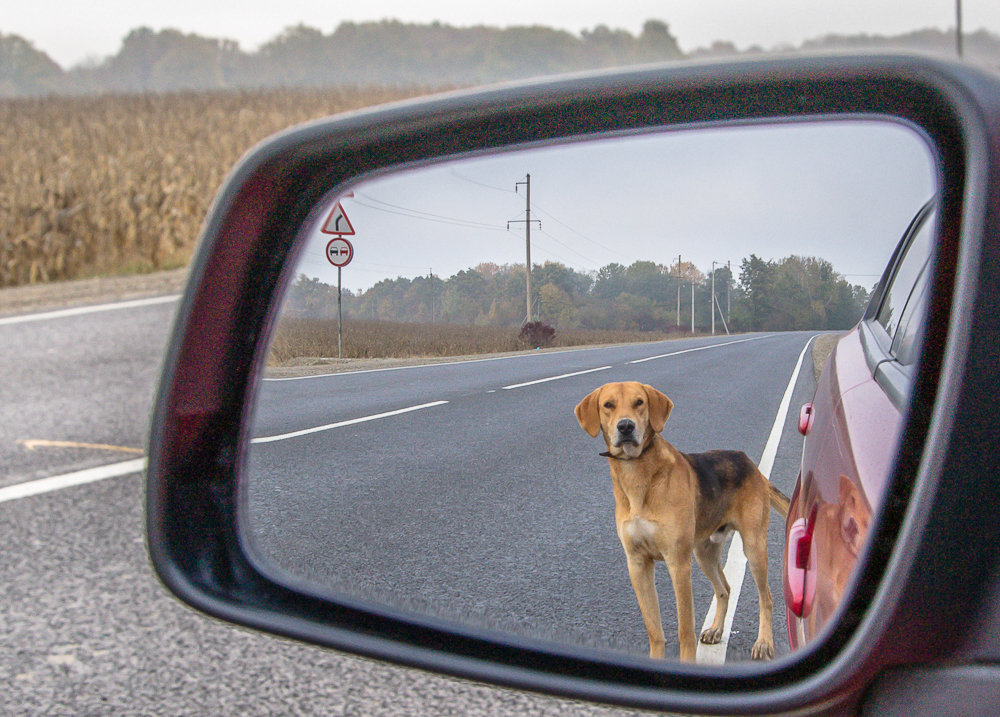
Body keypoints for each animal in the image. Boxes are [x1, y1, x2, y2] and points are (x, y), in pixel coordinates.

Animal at [580, 380, 788, 660]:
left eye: (639, 402)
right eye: (608, 405)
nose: (625, 427)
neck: (638, 475)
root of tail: (749, 463)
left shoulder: (678, 563)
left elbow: (685, 630)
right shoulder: (637, 563)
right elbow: (654, 630)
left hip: (753, 547)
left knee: (766, 597)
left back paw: (764, 642)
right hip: (704, 553)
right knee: (725, 588)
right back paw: (716, 629)